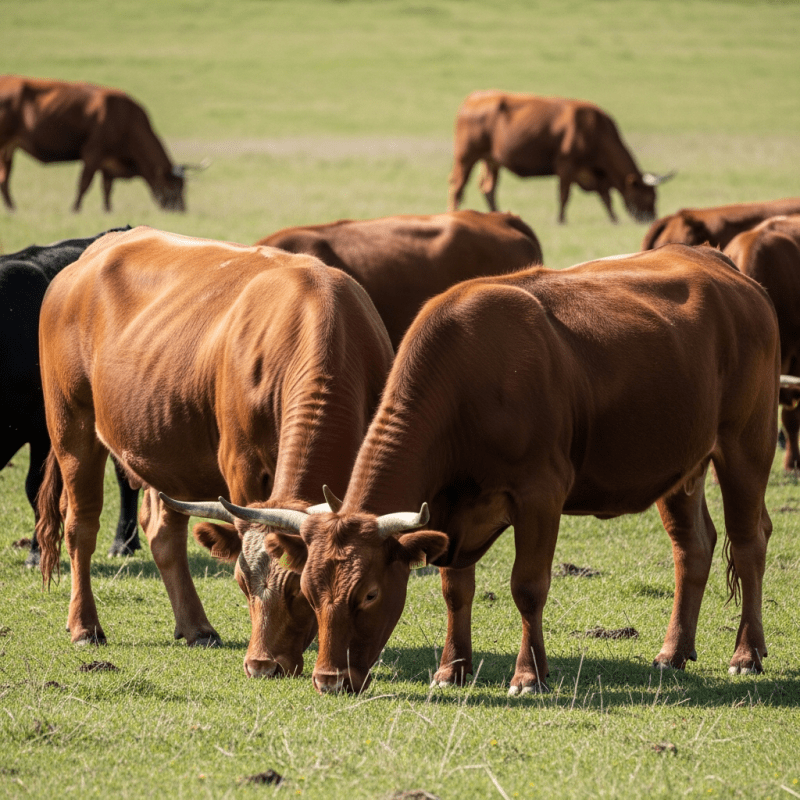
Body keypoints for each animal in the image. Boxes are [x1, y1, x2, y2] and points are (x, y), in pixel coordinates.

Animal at [0, 75, 192, 212]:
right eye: (174, 187)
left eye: (184, 188)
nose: (182, 211)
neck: (125, 118)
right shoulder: (92, 153)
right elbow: (84, 184)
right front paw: (75, 209)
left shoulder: (108, 161)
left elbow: (107, 189)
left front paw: (108, 210)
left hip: (9, 148)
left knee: (5, 178)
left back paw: (12, 209)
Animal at [35, 226, 393, 678]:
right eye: (241, 582)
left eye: (300, 589)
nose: (261, 665)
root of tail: (92, 253)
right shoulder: (241, 466)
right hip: (72, 427)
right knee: (80, 526)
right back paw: (85, 626)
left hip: (166, 448)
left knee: (163, 534)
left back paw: (196, 627)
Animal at [219, 245, 780, 694]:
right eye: (309, 593)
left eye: (369, 594)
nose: (328, 680)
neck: (467, 384)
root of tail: (719, 263)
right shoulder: (449, 512)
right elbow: (455, 589)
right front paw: (451, 669)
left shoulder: (541, 494)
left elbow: (527, 586)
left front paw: (529, 676)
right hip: (682, 467)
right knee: (693, 547)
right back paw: (673, 652)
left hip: (746, 445)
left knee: (748, 543)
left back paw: (746, 655)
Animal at [447, 91, 673, 224]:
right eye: (648, 196)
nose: (651, 219)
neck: (595, 130)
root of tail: (474, 97)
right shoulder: (566, 166)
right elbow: (564, 195)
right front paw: (561, 220)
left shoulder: (595, 175)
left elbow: (606, 198)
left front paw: (614, 219)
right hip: (466, 157)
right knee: (457, 187)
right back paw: (453, 214)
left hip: (491, 161)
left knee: (488, 188)